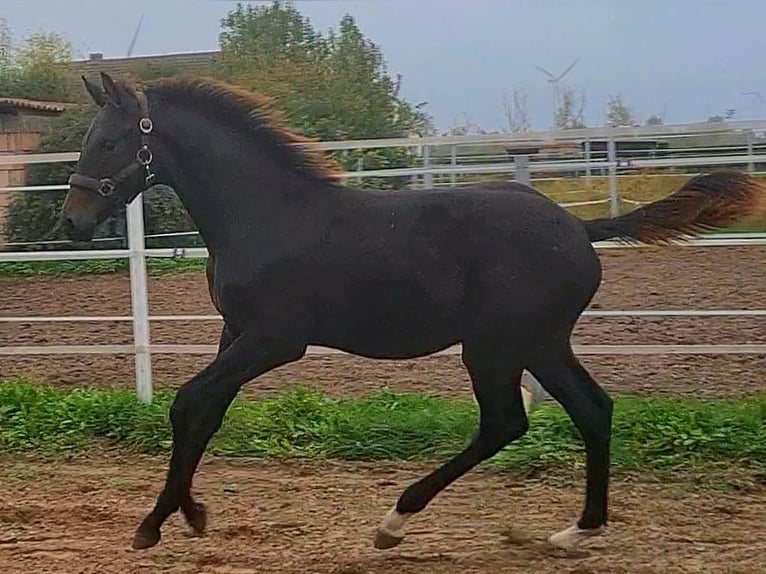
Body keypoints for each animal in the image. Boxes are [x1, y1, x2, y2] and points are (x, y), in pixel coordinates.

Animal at [61, 72, 763, 553]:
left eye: (111, 142)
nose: (71, 223)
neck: (264, 215)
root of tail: (582, 229)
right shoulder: (235, 336)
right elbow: (204, 413)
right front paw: (190, 513)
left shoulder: (272, 340)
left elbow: (187, 403)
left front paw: (154, 524)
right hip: (540, 344)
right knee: (592, 409)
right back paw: (576, 532)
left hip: (495, 347)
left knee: (506, 422)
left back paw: (395, 521)